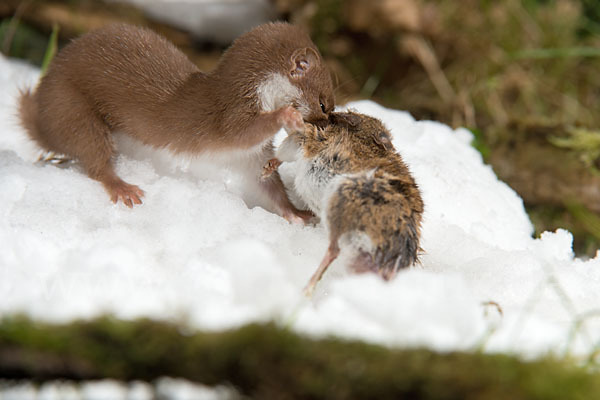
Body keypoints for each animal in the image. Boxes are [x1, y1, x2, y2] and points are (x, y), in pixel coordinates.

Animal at [18, 21, 336, 222]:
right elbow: (242, 131)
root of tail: (43, 118)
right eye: (324, 103)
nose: (329, 122)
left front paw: (298, 213)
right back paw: (123, 187)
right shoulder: (228, 116)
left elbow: (269, 187)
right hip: (72, 107)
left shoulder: (249, 157)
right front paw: (287, 116)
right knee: (93, 156)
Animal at [264, 111, 424, 296]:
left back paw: (306, 288)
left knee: (334, 250)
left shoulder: (307, 138)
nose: (332, 114)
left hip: (340, 200)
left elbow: (288, 146)